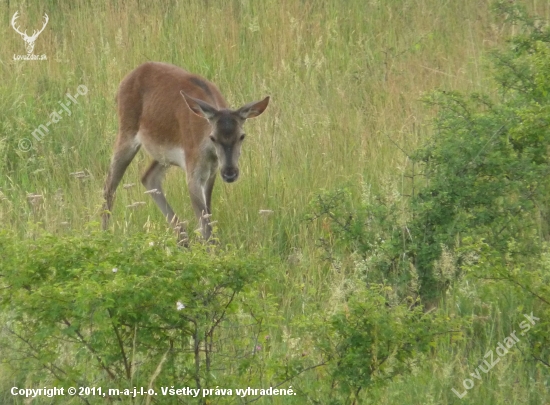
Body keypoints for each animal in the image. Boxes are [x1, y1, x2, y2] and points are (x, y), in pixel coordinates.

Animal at [102, 60, 272, 243]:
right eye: (213, 137)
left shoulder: (211, 172)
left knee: (148, 177)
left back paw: (183, 240)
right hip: (127, 131)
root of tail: (124, 82)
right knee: (109, 185)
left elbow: (207, 217)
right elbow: (205, 227)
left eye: (242, 136)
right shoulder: (193, 169)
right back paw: (103, 234)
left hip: (163, 155)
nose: (229, 173)